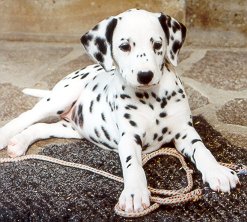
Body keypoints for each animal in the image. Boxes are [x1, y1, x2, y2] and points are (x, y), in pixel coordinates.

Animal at [0, 9, 239, 213]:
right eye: (124, 46)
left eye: (157, 44)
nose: (145, 75)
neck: (152, 98)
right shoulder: (129, 138)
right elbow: (133, 166)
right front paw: (135, 193)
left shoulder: (184, 132)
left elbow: (202, 150)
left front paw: (217, 171)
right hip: (61, 97)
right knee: (27, 116)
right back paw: (6, 137)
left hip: (72, 128)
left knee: (41, 127)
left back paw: (19, 143)